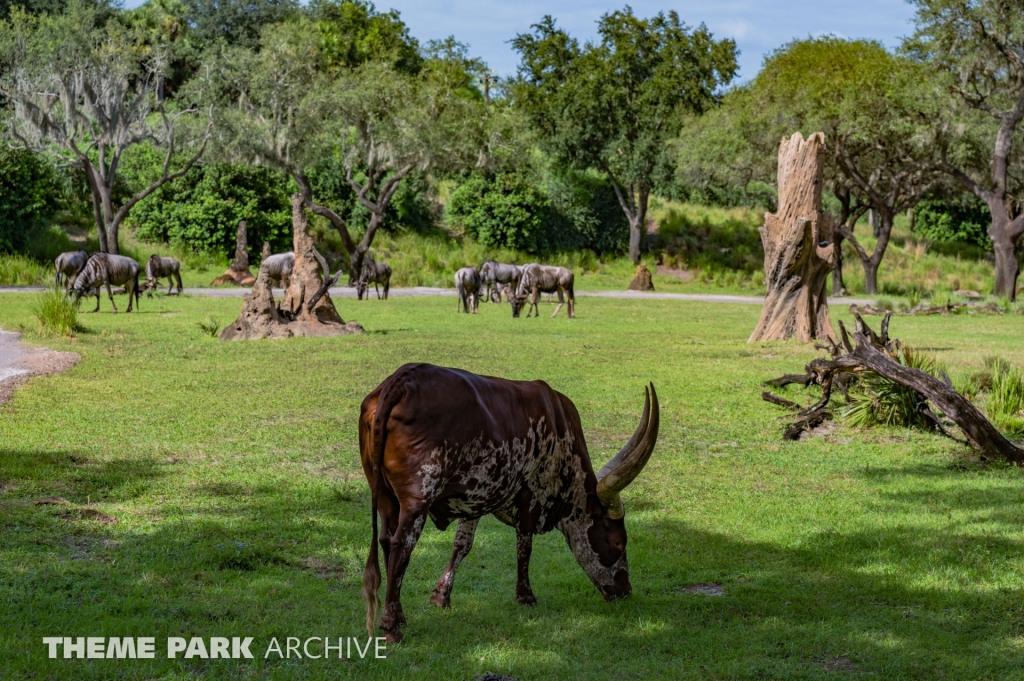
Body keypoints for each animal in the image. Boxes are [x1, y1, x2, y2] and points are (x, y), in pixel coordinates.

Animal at [362, 364, 663, 639]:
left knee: (386, 540)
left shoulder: (475, 497)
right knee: (401, 544)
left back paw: (399, 614)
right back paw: (391, 625)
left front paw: (441, 596)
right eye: (618, 542)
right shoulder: (533, 493)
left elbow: (462, 545)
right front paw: (525, 596)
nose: (625, 591)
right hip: (418, 498)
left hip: (385, 495)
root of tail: (400, 381)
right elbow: (524, 546)